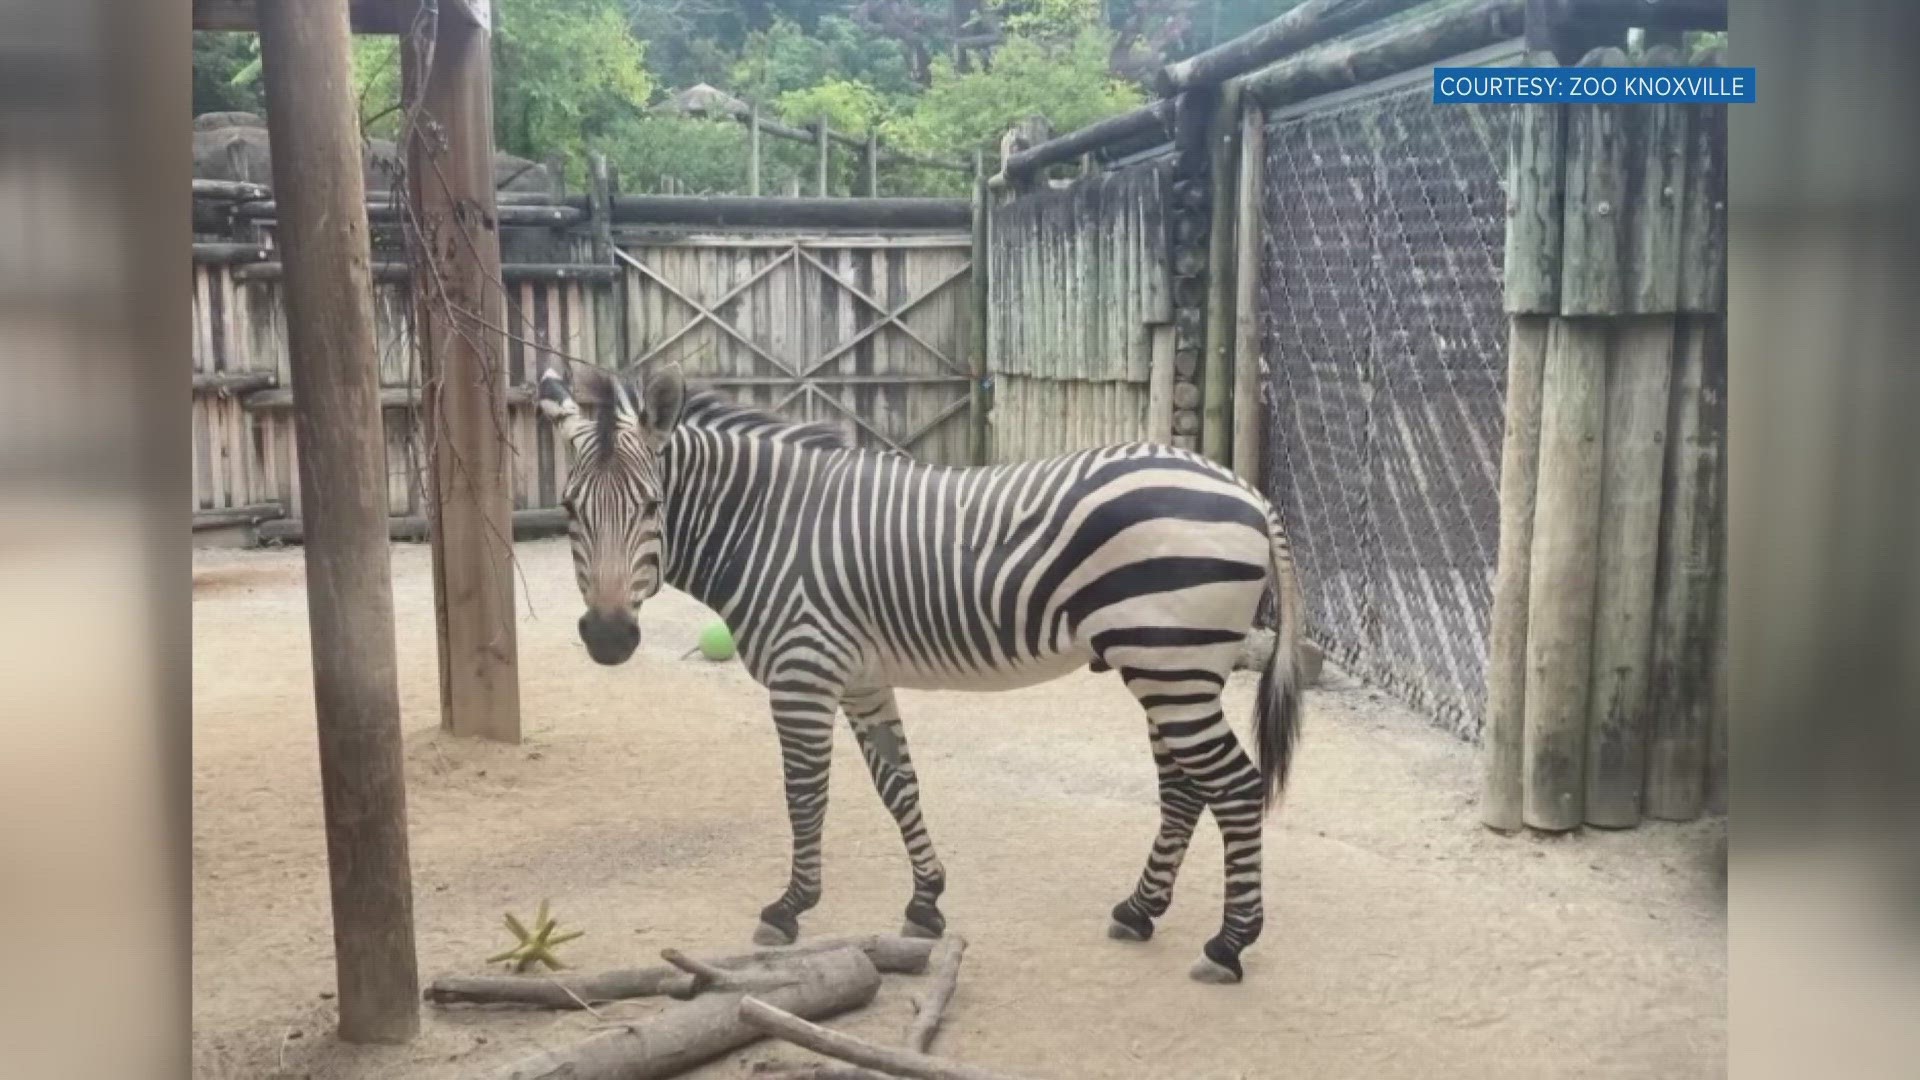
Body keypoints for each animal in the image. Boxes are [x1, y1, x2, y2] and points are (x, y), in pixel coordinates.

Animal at [541, 357, 1305, 980]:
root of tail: (1244, 487)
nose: (607, 638)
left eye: (652, 506)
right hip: (1165, 665)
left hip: (1171, 662)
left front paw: (790, 908)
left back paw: (1229, 943)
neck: (765, 526)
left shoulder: (803, 674)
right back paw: (1140, 910)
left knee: (1236, 787)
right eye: (570, 509)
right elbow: (898, 786)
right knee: (1184, 790)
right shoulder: (860, 678)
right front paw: (926, 903)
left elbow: (805, 796)